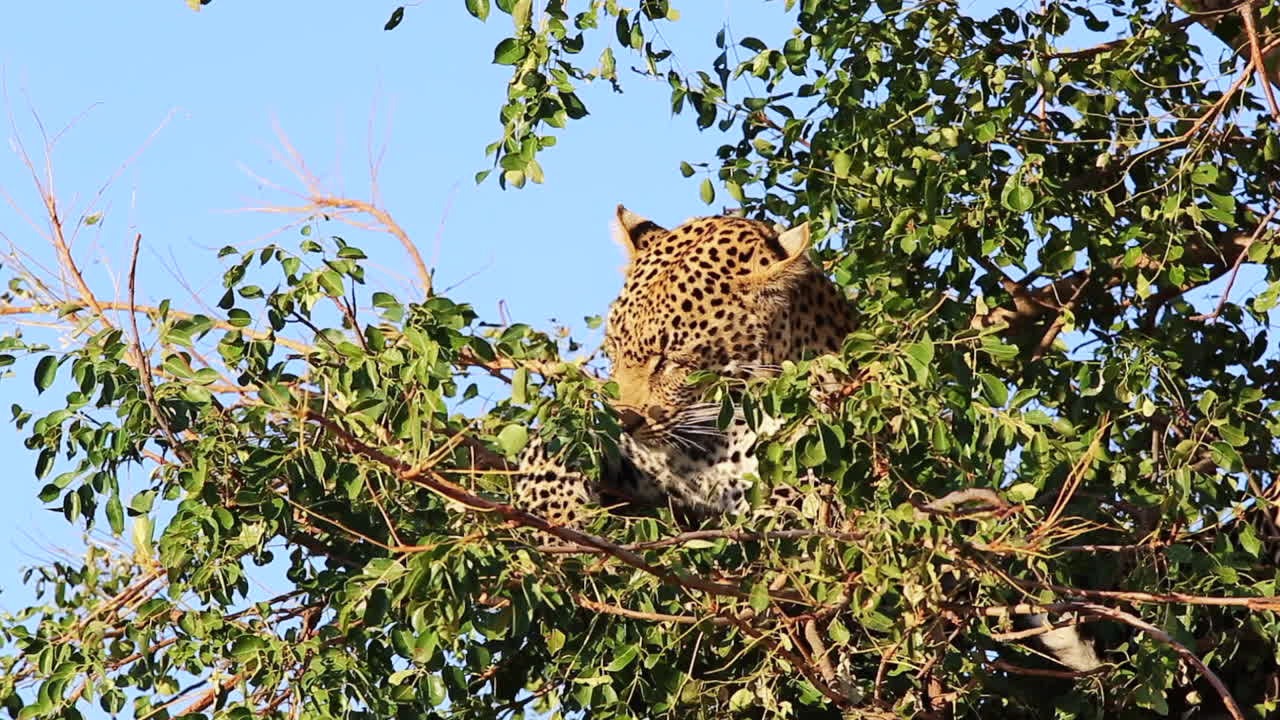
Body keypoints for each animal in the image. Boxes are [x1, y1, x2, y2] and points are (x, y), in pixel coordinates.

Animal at [515, 205, 856, 527]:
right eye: (615, 345)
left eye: (670, 361)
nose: (623, 422)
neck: (722, 437)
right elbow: (558, 439)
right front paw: (554, 513)